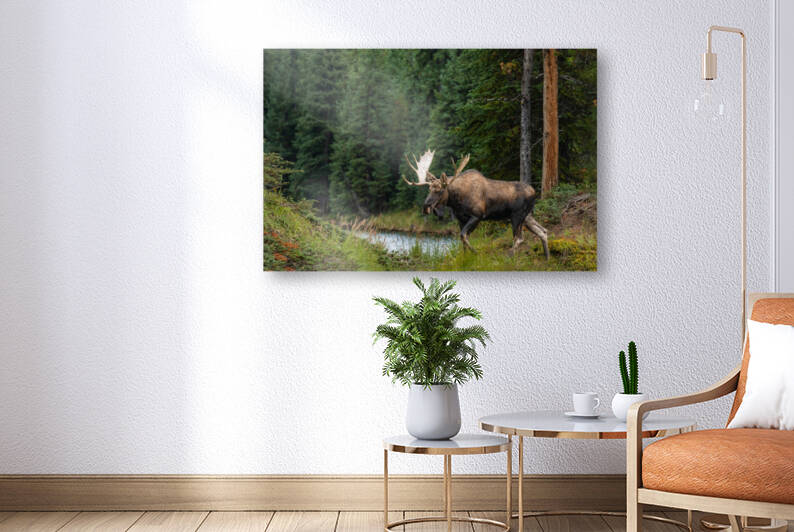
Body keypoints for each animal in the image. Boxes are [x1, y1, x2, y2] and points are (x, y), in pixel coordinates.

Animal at [402, 150, 549, 259]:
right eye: (429, 189)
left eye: (440, 190)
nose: (425, 207)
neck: (456, 202)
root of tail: (534, 192)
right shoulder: (461, 219)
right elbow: (463, 239)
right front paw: (466, 258)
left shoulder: (477, 215)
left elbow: (463, 236)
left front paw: (476, 253)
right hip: (527, 217)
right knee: (543, 231)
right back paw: (547, 258)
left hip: (517, 216)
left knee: (519, 238)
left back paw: (509, 257)